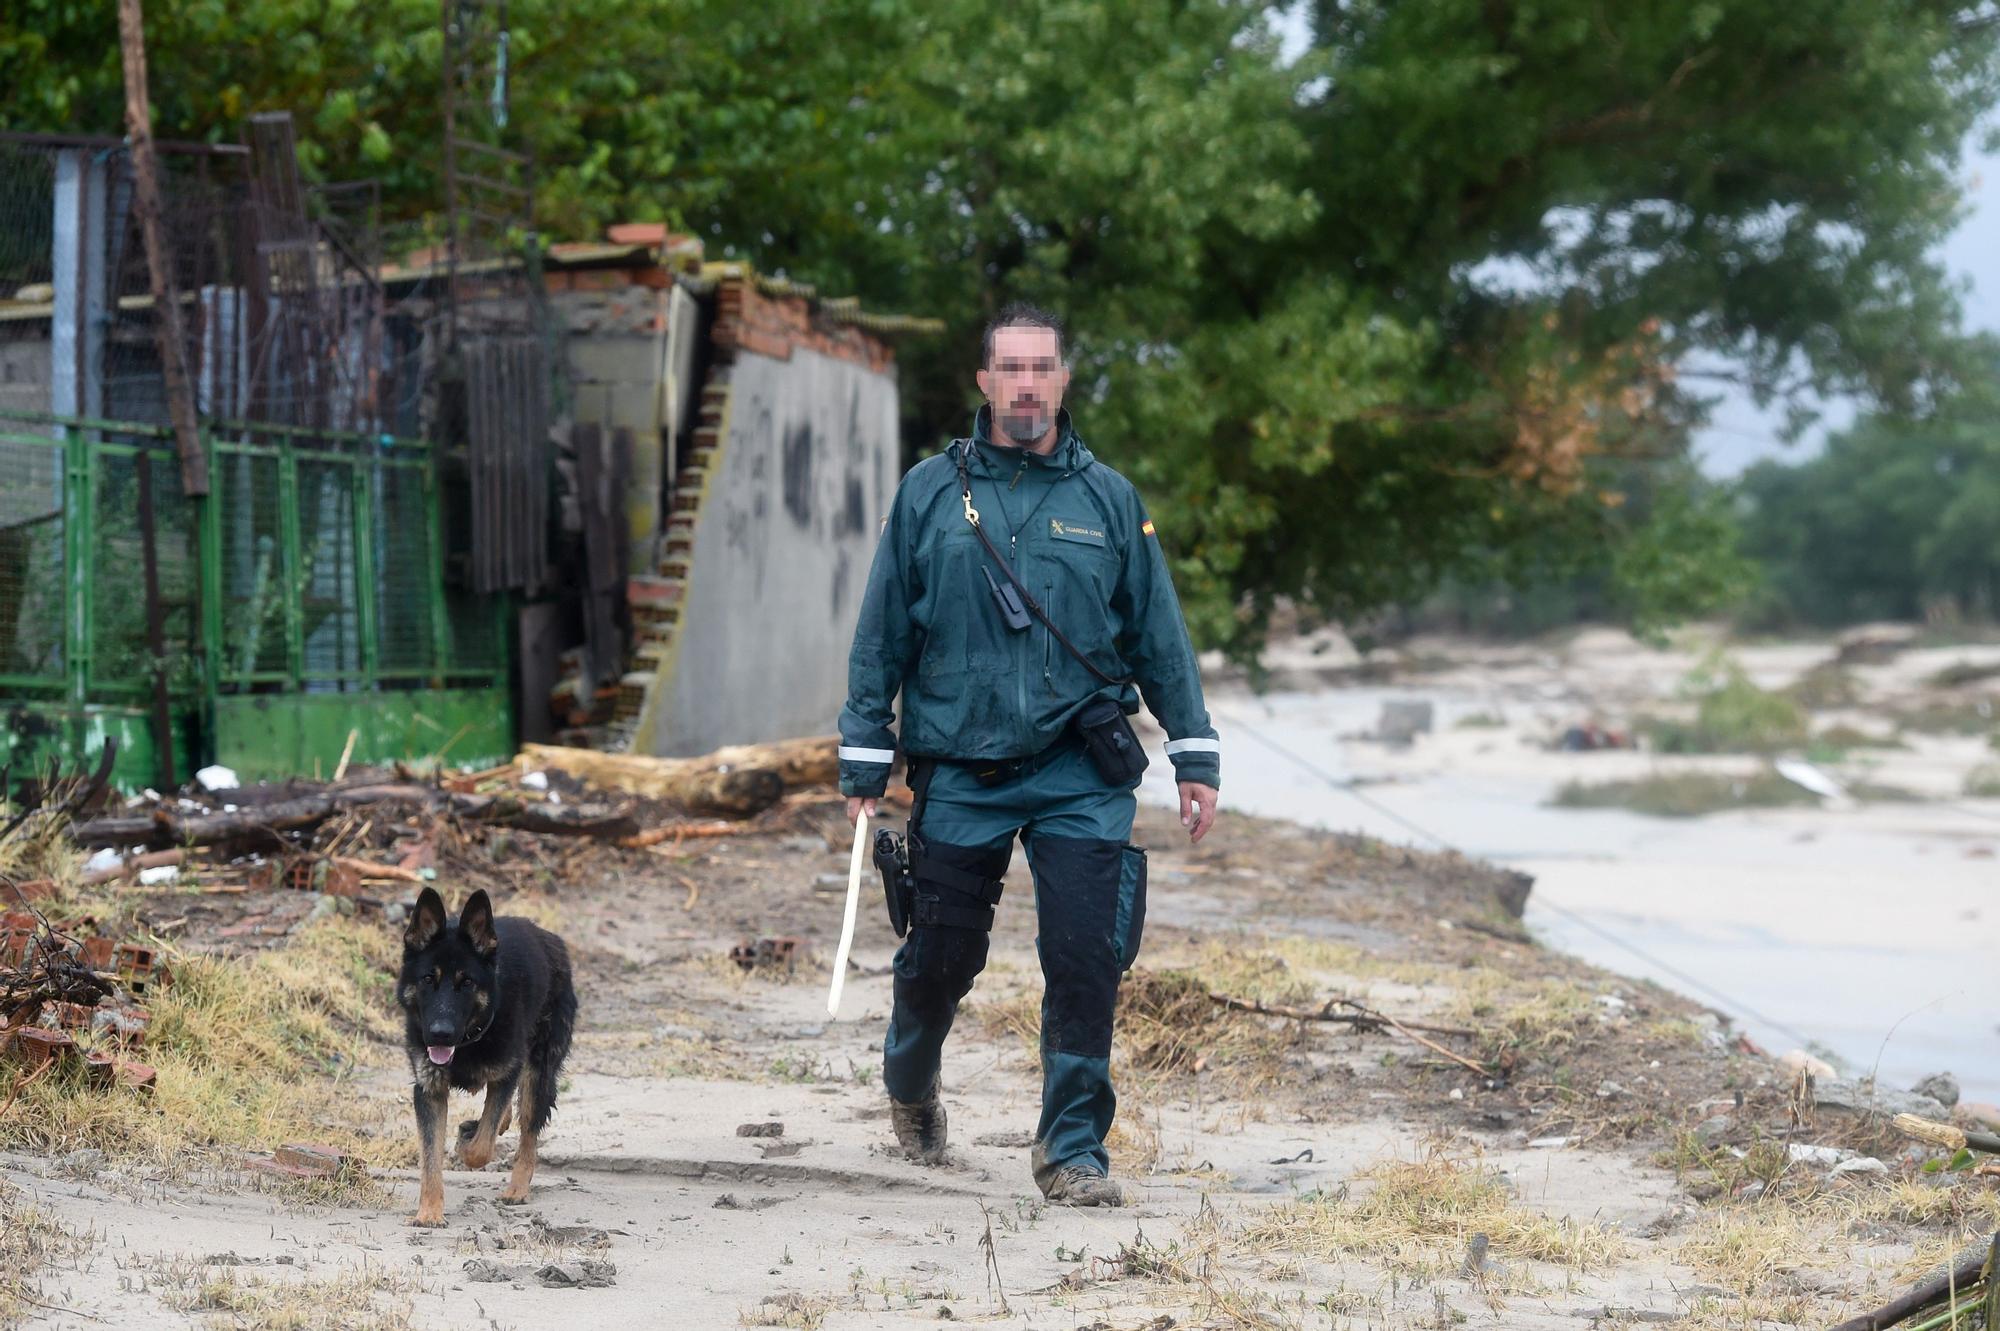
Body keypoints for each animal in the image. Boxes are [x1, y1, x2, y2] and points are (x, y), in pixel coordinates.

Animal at [394, 887, 576, 1215]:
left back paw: (517, 1189)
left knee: (527, 1134)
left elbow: (480, 1149)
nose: (439, 1033)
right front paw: (429, 1212)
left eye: (466, 982)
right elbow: (430, 1158)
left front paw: (467, 1143)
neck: (468, 1042)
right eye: (428, 979)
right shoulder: (429, 1091)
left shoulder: (507, 1074)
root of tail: (549, 937)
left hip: (537, 1078)